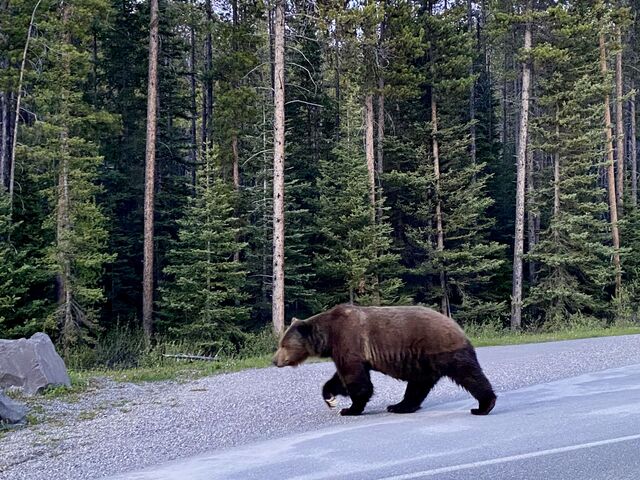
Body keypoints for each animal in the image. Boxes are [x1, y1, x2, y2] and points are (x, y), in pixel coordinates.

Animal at [272, 304, 498, 416]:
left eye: (284, 345)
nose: (274, 361)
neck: (328, 336)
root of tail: (457, 326)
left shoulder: (349, 341)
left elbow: (356, 380)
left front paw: (350, 409)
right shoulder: (347, 351)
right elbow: (341, 378)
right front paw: (329, 396)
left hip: (442, 350)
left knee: (469, 374)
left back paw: (483, 405)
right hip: (423, 362)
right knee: (417, 386)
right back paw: (399, 406)